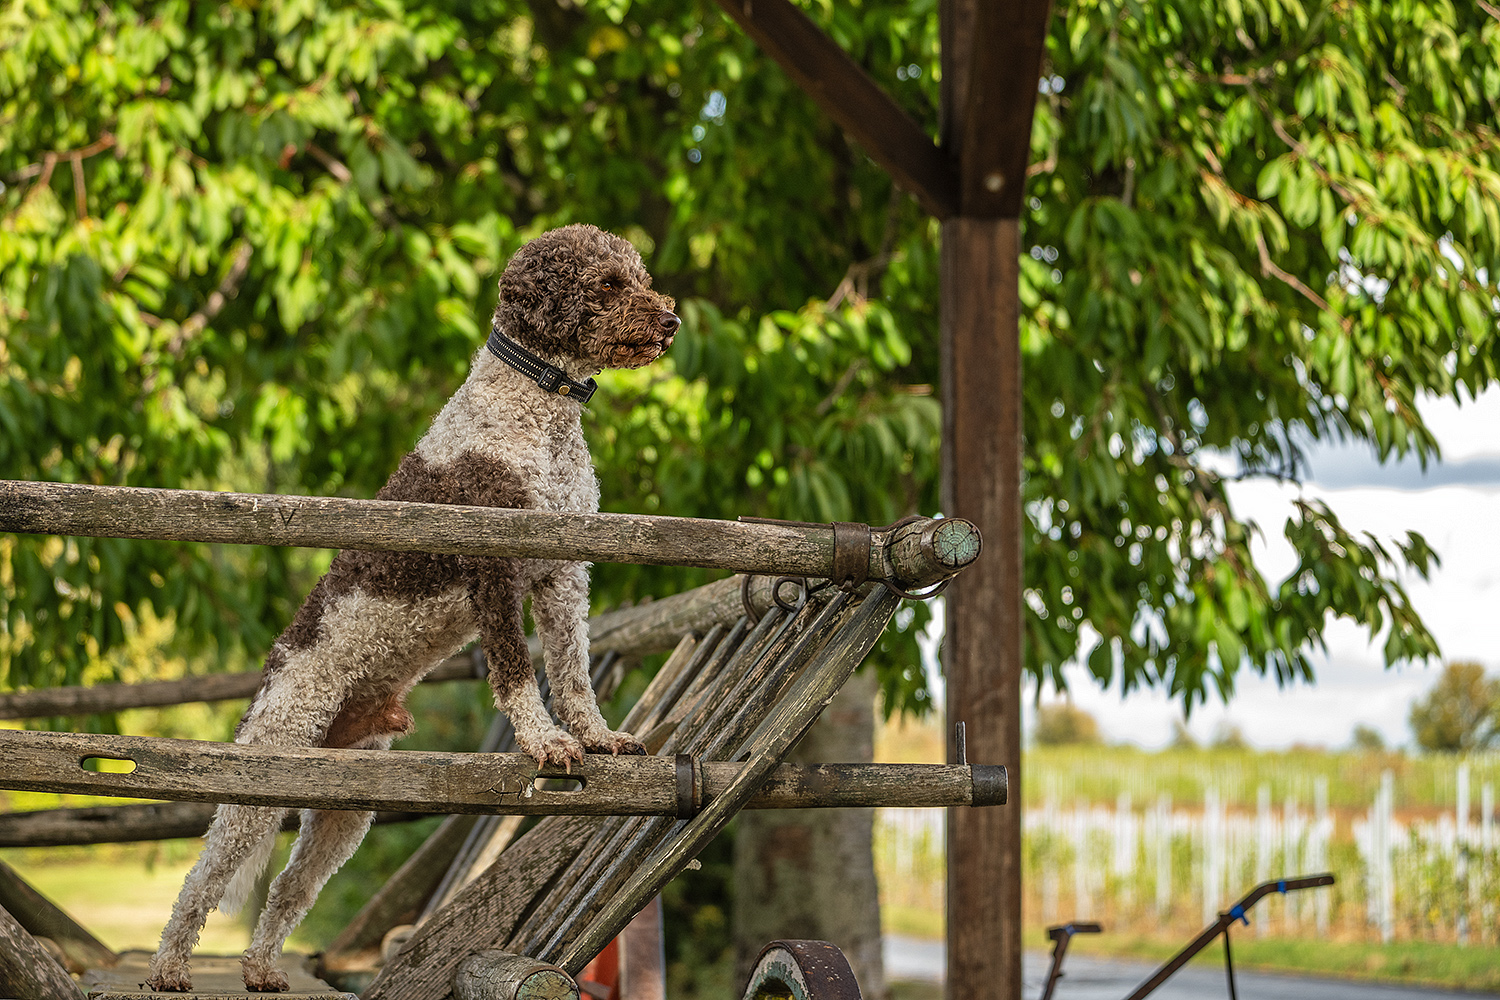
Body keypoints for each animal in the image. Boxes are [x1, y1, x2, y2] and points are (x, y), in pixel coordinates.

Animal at [147, 224, 681, 995]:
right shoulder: (495, 571)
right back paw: (168, 966)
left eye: (637, 275)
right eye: (607, 283)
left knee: (288, 889)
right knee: (205, 876)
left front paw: (598, 736)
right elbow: (517, 673)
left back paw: (262, 968)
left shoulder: (563, 574)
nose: (671, 320)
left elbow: (574, 672)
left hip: (347, 807)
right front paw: (545, 742)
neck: (535, 412)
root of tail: (277, 667)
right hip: (265, 771)